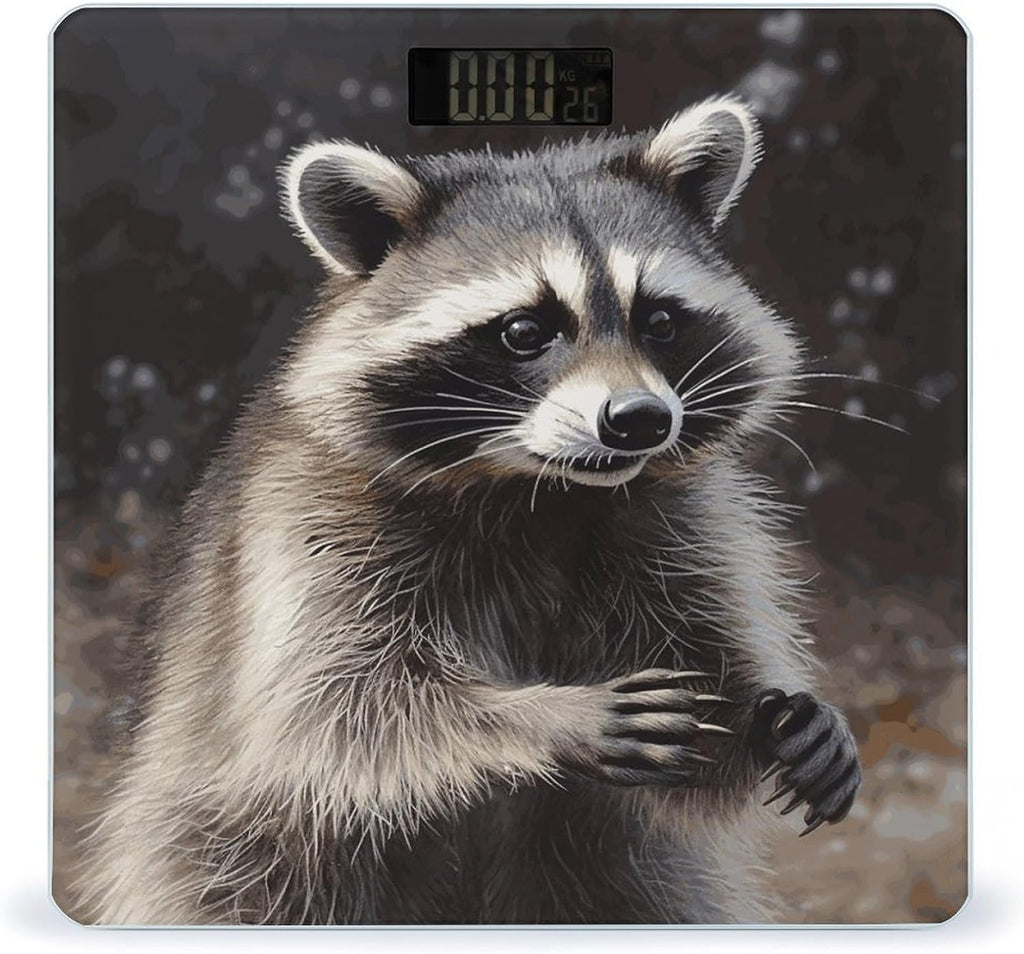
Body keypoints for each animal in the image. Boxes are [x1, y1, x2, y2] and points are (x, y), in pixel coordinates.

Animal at [74, 95, 861, 925]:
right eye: (524, 331)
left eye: (660, 321)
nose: (640, 420)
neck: (540, 491)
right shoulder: (303, 524)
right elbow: (331, 710)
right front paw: (549, 716)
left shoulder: (676, 523)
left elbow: (704, 701)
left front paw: (776, 717)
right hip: (226, 857)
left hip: (621, 875)